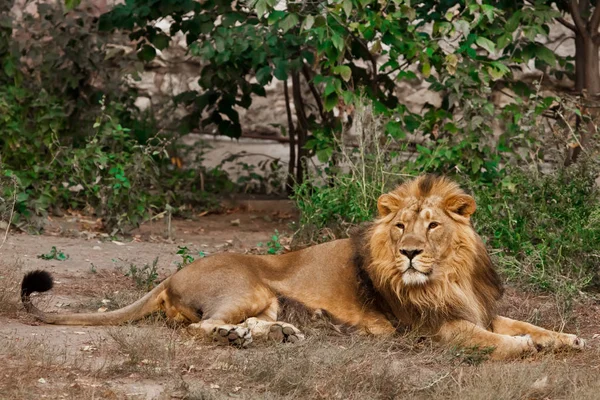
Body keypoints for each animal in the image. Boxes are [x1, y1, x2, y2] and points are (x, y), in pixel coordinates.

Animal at [21, 175, 584, 360]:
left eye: (432, 227)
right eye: (401, 227)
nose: (409, 253)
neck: (450, 274)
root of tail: (170, 275)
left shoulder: (478, 308)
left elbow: (525, 323)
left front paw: (568, 339)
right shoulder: (430, 329)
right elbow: (495, 340)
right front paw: (525, 346)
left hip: (267, 302)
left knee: (248, 325)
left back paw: (277, 335)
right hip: (245, 288)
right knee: (201, 329)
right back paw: (240, 339)